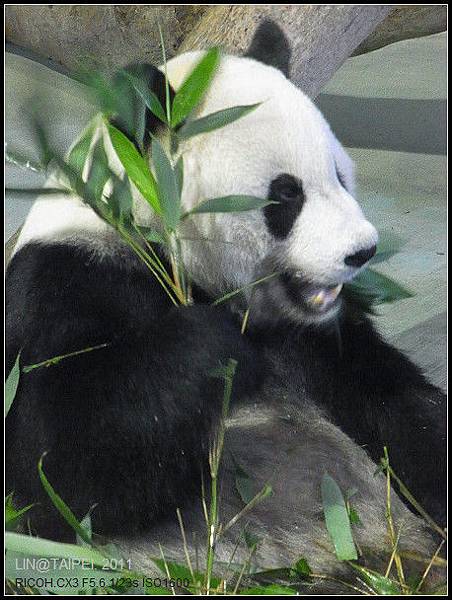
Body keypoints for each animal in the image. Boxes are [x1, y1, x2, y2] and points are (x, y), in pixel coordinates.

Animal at [6, 19, 444, 592]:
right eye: (286, 195)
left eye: (339, 174)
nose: (363, 251)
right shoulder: (66, 279)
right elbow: (57, 465)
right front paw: (217, 342)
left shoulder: (317, 338)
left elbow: (398, 410)